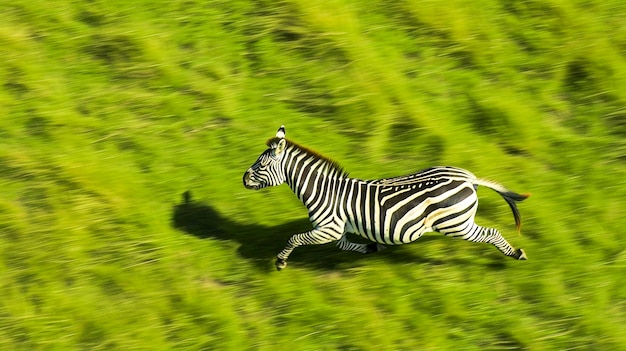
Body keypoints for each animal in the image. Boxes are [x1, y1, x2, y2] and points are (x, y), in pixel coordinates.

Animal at [243, 126, 528, 272]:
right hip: (457, 223)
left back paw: (516, 254)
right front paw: (373, 247)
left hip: (455, 224)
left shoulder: (329, 228)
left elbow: (295, 238)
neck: (323, 191)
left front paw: (280, 261)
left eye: (261, 165)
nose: (243, 179)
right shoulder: (339, 230)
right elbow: (345, 246)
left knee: (491, 233)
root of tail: (469, 178)